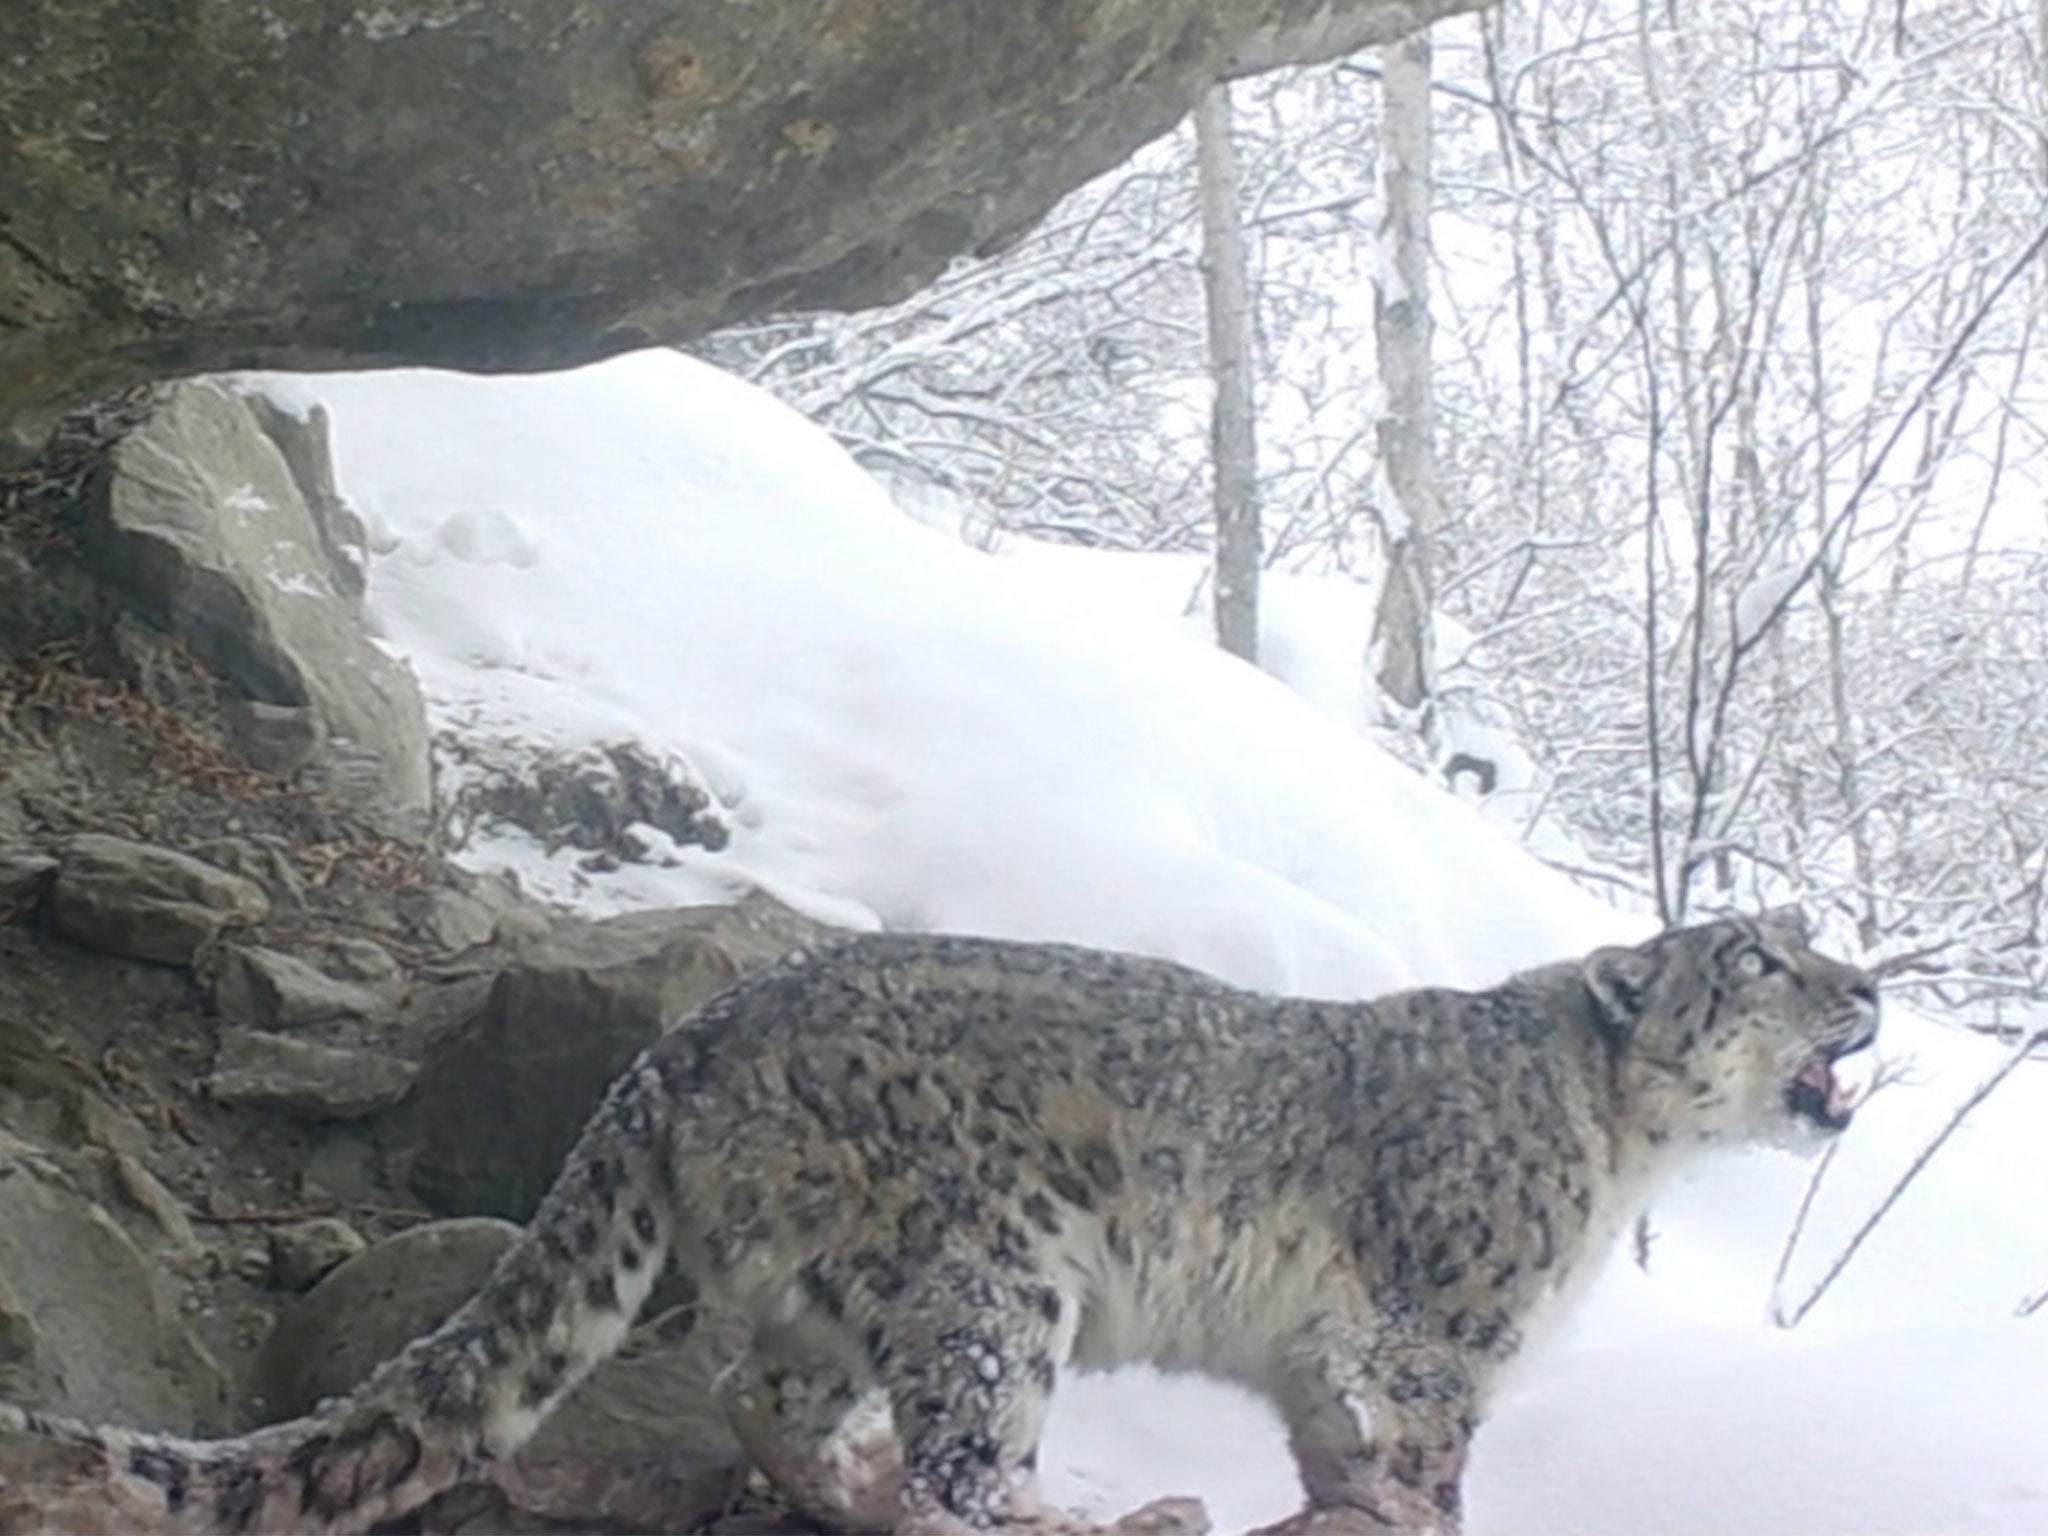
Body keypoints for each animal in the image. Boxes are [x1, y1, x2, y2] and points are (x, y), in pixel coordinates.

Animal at [0, 908, 1877, 1535]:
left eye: (1813, 939)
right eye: (1756, 956)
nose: (1867, 988)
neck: (1623, 1158)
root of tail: (688, 1039)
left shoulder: (1325, 1358)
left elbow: (1335, 1450)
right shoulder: (1439, 1341)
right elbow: (1423, 1466)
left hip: (845, 1294)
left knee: (769, 1396)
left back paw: (833, 1485)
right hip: (992, 1280)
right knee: (963, 1469)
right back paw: (1082, 1514)